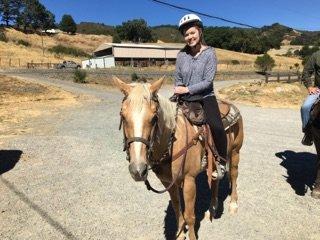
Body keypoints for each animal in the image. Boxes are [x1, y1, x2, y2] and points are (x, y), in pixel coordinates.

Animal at [114, 77, 244, 240]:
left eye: (154, 118)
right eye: (123, 116)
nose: (138, 170)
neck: (173, 141)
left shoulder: (189, 181)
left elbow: (190, 215)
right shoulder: (168, 183)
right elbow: (177, 209)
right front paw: (180, 234)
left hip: (235, 152)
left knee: (233, 175)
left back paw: (233, 205)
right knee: (215, 180)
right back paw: (212, 209)